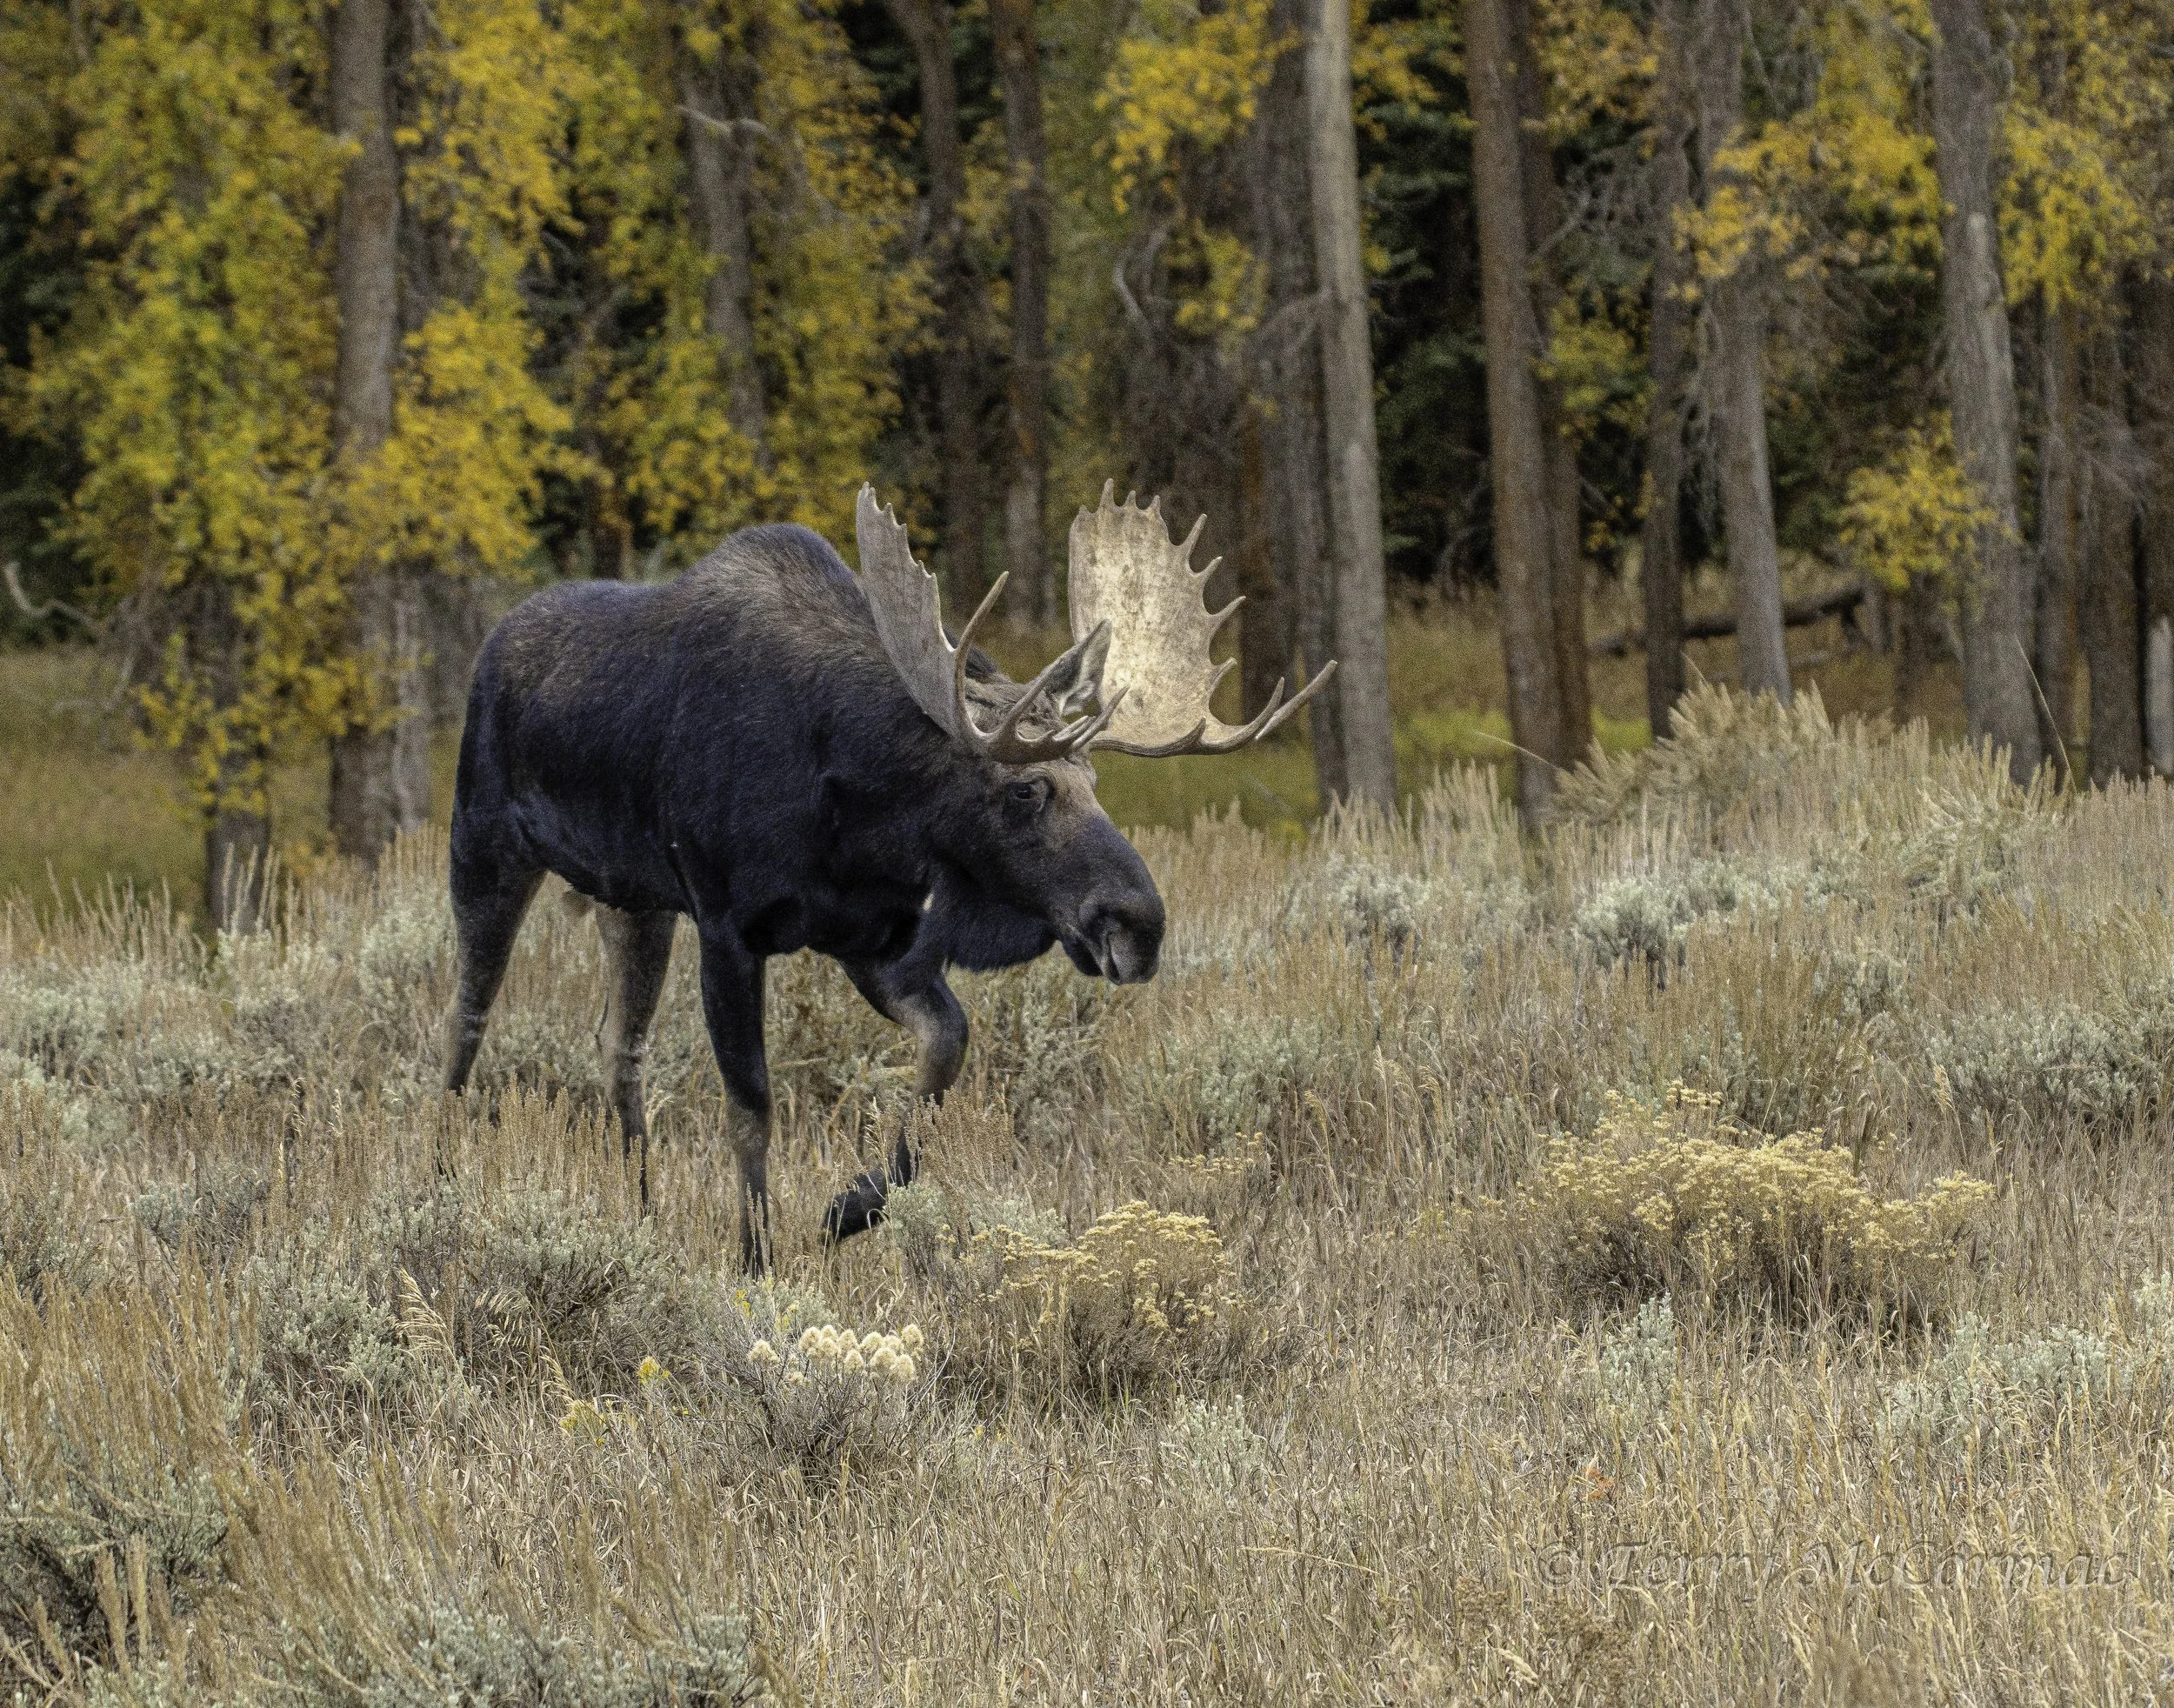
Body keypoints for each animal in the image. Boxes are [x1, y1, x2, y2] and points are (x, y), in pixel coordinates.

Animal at [441, 482, 1333, 1267]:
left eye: (1095, 778)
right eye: (1023, 790)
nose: (1139, 922)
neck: (860, 805)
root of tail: (488, 650)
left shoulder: (872, 936)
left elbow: (947, 1050)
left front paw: (846, 1209)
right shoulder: (728, 926)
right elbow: (751, 1106)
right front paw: (756, 1259)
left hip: (633, 901)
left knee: (617, 1045)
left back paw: (641, 1213)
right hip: (485, 848)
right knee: (465, 1021)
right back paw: (439, 1180)